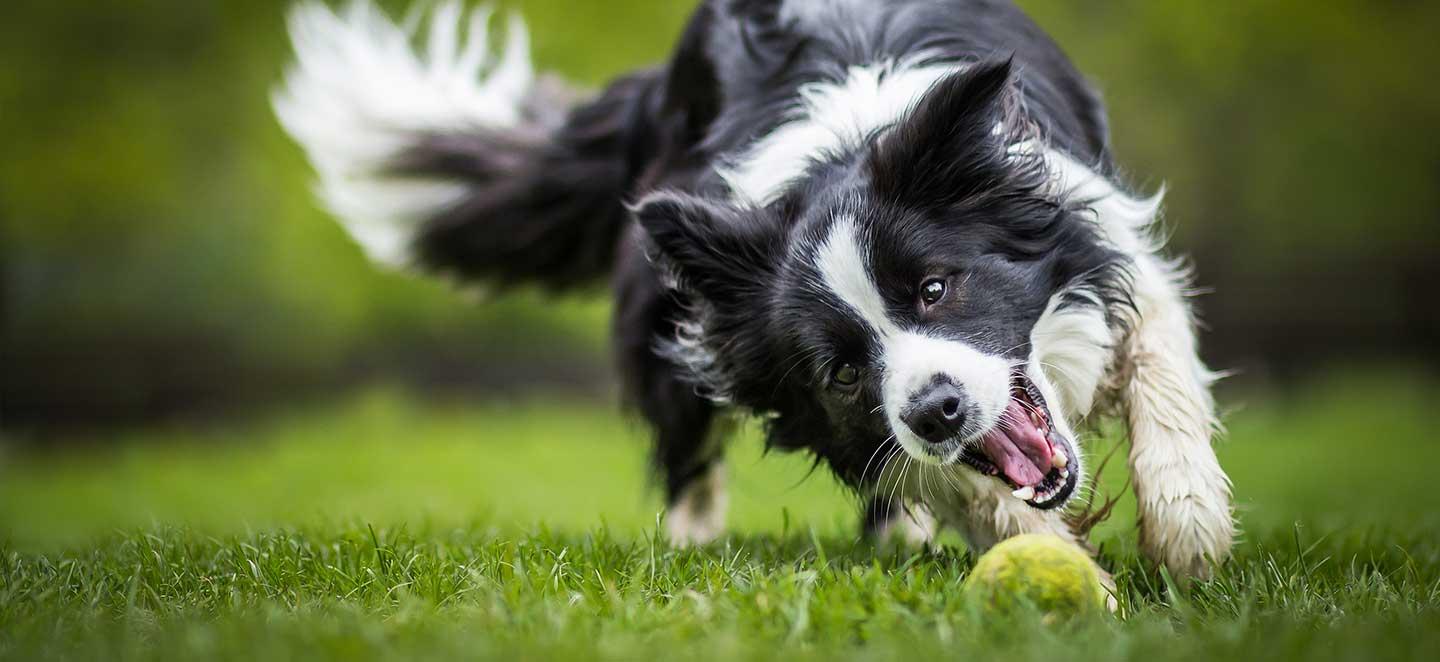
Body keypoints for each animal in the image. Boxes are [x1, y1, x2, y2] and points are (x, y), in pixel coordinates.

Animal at [272, 0, 1238, 578]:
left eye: (934, 288)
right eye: (842, 372)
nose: (936, 412)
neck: (845, 152)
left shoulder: (1104, 233)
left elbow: (1160, 366)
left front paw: (1187, 531)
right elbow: (956, 482)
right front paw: (1053, 559)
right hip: (666, 305)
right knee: (689, 450)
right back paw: (696, 545)